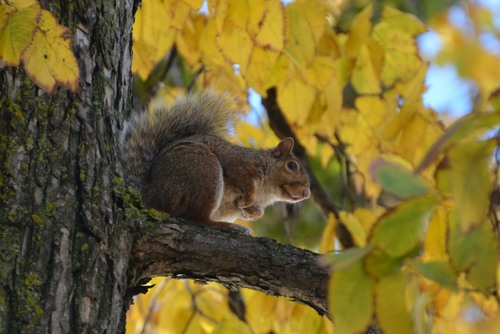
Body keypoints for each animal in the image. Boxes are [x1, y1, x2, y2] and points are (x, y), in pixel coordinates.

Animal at [119, 91, 310, 232]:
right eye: (292, 166)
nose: (306, 193)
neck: (266, 191)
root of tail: (152, 195)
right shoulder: (239, 164)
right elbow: (243, 180)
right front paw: (248, 200)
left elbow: (253, 211)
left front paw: (252, 211)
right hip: (204, 171)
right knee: (197, 217)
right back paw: (226, 226)